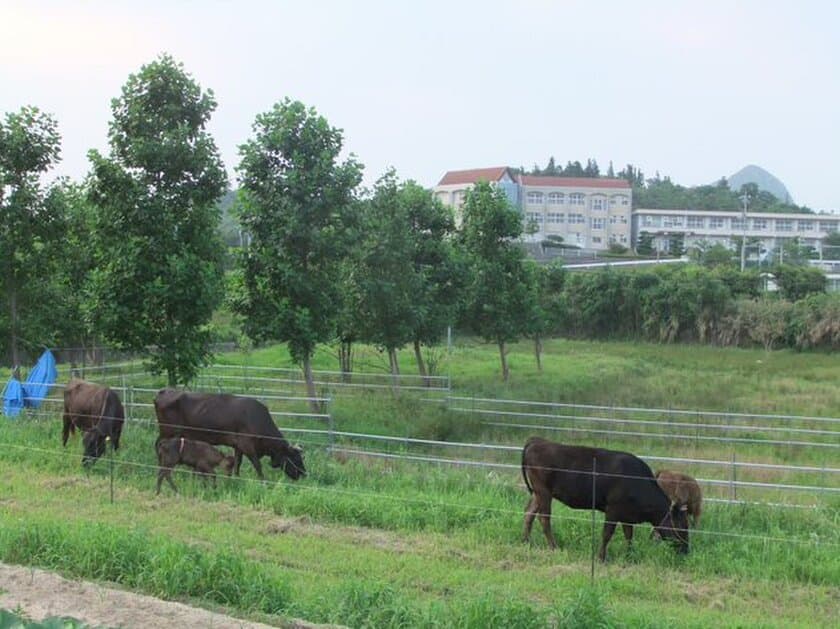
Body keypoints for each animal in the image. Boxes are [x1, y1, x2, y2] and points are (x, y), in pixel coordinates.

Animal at [154, 388, 306, 480]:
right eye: (296, 459)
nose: (304, 474)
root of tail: (165, 390)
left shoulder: (238, 445)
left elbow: (238, 462)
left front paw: (235, 479)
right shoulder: (247, 444)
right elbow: (257, 464)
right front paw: (263, 482)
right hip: (168, 431)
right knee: (158, 445)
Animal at [520, 436, 688, 560]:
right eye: (681, 526)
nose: (686, 550)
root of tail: (537, 441)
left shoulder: (627, 514)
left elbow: (628, 534)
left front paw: (630, 554)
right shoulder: (613, 509)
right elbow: (607, 534)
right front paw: (601, 558)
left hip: (537, 493)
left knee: (529, 513)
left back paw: (526, 541)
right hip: (543, 491)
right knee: (544, 518)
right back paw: (553, 546)